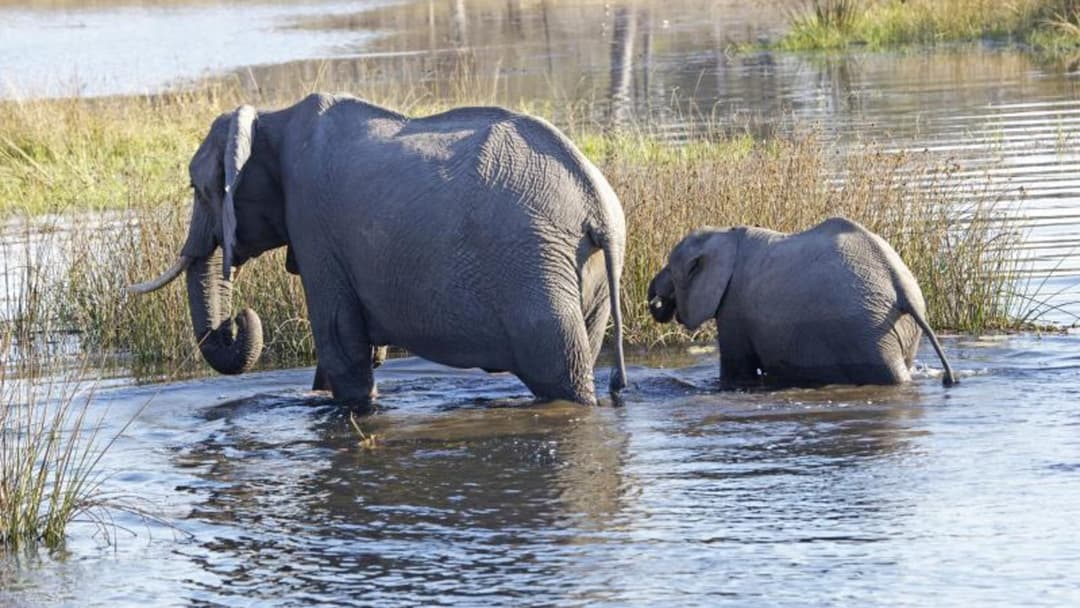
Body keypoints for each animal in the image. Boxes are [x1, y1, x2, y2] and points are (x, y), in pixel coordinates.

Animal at [127, 93, 627, 407]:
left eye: (198, 190)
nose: (238, 319)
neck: (272, 118)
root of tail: (597, 205)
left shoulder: (314, 224)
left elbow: (340, 344)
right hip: (583, 275)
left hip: (533, 268)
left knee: (561, 375)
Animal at [647, 217, 958, 387]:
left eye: (671, 269)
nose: (656, 298)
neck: (723, 233)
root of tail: (901, 288)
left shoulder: (733, 307)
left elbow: (737, 371)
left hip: (865, 331)